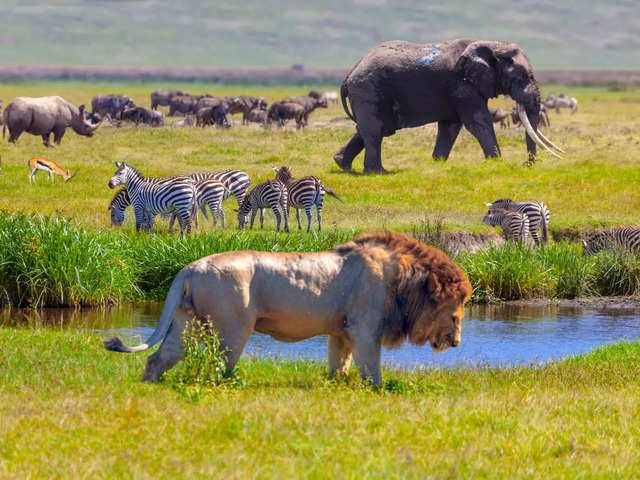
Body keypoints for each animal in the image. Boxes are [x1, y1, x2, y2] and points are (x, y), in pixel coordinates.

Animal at [104, 231, 470, 384]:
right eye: (456, 313)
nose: (456, 343)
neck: (403, 279)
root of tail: (189, 268)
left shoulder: (341, 331)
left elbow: (339, 365)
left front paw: (336, 386)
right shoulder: (365, 329)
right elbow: (372, 370)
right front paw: (377, 391)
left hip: (186, 321)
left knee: (159, 357)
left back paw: (149, 385)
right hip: (232, 327)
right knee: (219, 367)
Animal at [332, 37, 564, 172]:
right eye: (522, 76)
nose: (528, 164)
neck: (491, 45)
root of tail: (348, 76)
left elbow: (450, 126)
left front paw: (436, 164)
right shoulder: (462, 85)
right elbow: (478, 121)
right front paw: (496, 163)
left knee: (372, 129)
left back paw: (342, 164)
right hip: (367, 90)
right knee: (374, 131)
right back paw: (377, 172)